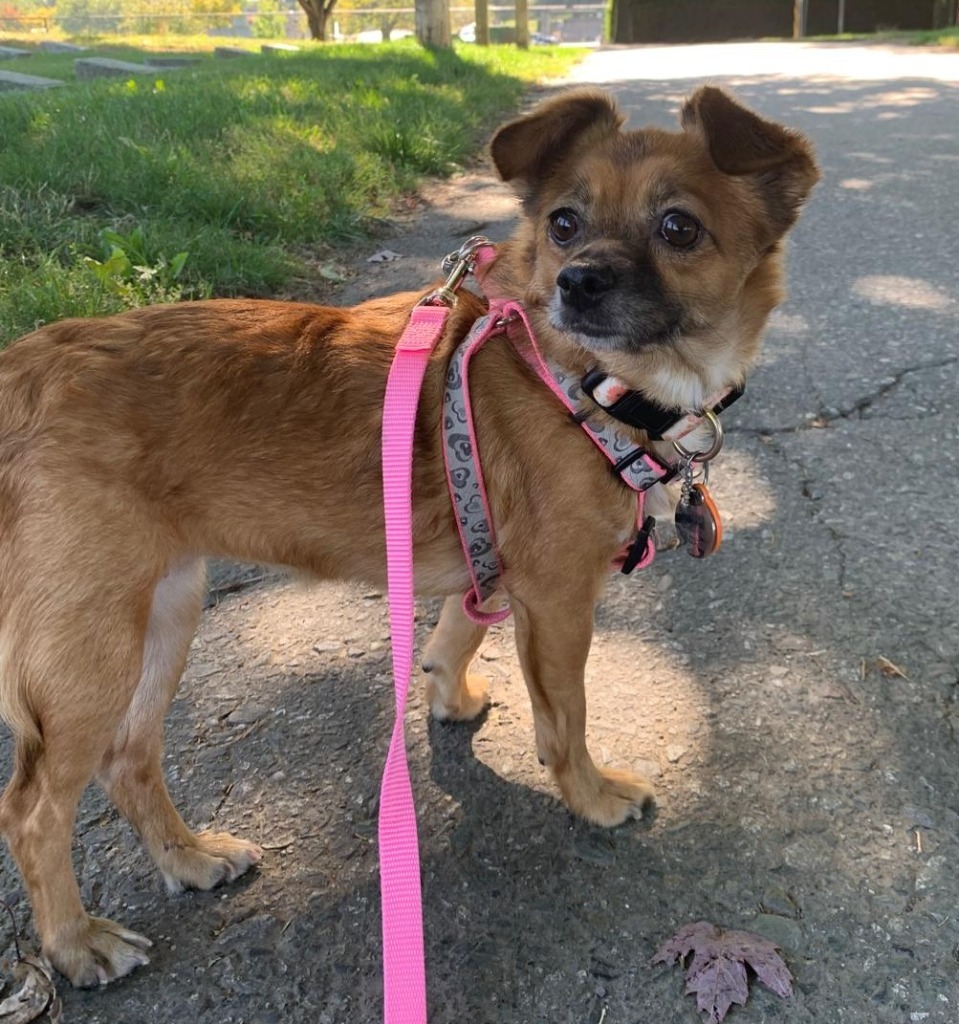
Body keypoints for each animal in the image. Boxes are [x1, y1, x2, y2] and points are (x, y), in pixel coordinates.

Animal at [0, 90, 814, 991]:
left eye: (679, 227)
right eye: (563, 223)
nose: (574, 282)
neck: (583, 380)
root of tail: (18, 372)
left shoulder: (499, 571)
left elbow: (458, 629)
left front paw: (447, 695)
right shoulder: (559, 598)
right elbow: (564, 716)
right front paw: (590, 794)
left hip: (163, 615)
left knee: (128, 758)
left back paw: (187, 857)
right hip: (89, 651)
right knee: (32, 812)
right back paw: (76, 942)